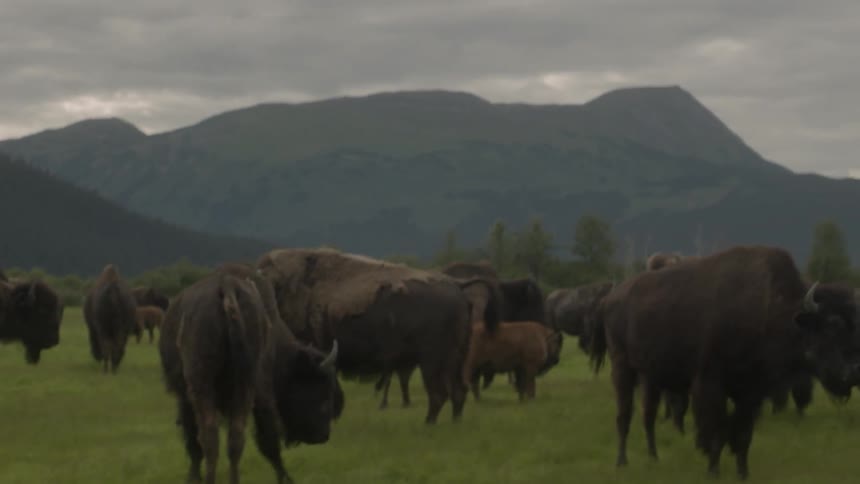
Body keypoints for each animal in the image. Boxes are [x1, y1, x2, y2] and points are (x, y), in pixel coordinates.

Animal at [160, 269, 342, 484]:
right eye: (322, 390)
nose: (324, 435)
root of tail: (227, 287)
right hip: (239, 386)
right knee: (234, 438)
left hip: (205, 386)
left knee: (212, 437)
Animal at [256, 248, 499, 424]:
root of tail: (457, 285)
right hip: (455, 359)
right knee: (458, 391)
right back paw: (452, 423)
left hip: (431, 361)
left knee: (439, 394)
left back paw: (427, 425)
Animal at [584, 245, 858, 479]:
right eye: (832, 325)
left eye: (855, 326)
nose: (852, 374)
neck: (767, 309)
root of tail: (610, 298)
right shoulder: (711, 385)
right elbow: (717, 430)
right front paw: (713, 471)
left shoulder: (750, 393)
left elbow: (743, 435)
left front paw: (743, 473)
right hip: (622, 367)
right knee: (624, 415)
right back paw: (622, 462)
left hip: (650, 376)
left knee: (648, 416)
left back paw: (653, 458)